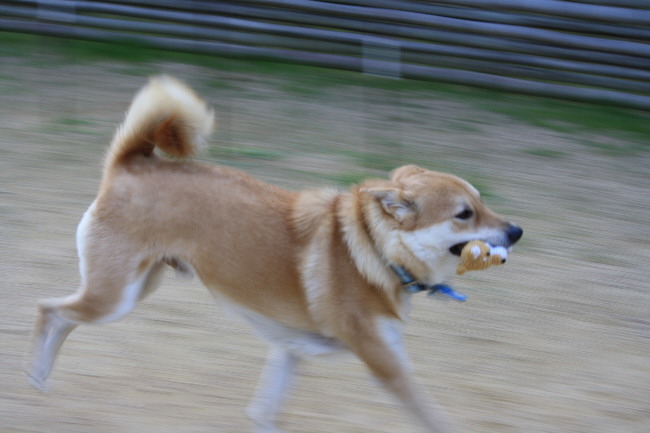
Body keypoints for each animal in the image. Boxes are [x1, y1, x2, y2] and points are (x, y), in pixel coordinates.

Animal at [27, 76, 522, 433]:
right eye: (464, 214)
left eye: (483, 202)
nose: (517, 231)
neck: (375, 250)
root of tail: (131, 161)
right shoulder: (385, 362)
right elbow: (434, 417)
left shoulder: (291, 351)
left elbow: (265, 413)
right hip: (115, 297)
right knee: (49, 310)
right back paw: (35, 376)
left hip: (134, 289)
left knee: (64, 317)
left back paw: (41, 379)